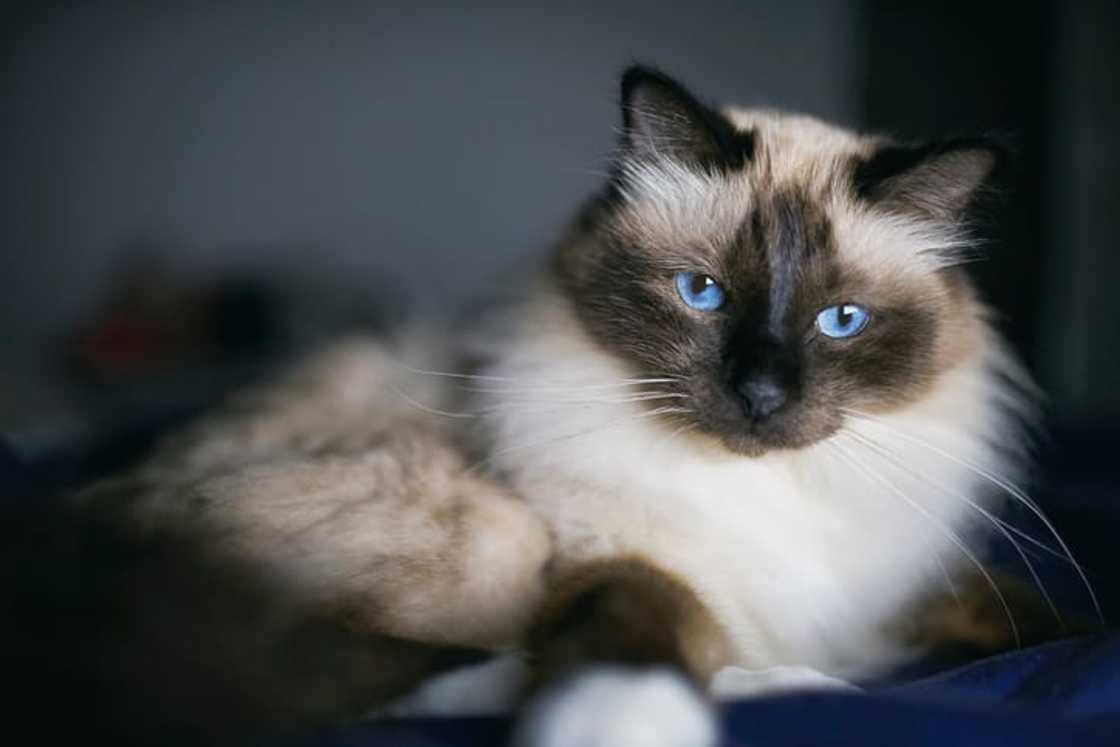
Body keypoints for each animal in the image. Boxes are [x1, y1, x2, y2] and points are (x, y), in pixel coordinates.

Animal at [61, 65, 1084, 747]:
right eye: (702, 293)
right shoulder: (613, 557)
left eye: (842, 320)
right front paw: (620, 719)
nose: (759, 395)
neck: (768, 494)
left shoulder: (888, 584)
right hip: (492, 530)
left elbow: (1043, 619)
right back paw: (789, 684)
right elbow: (634, 638)